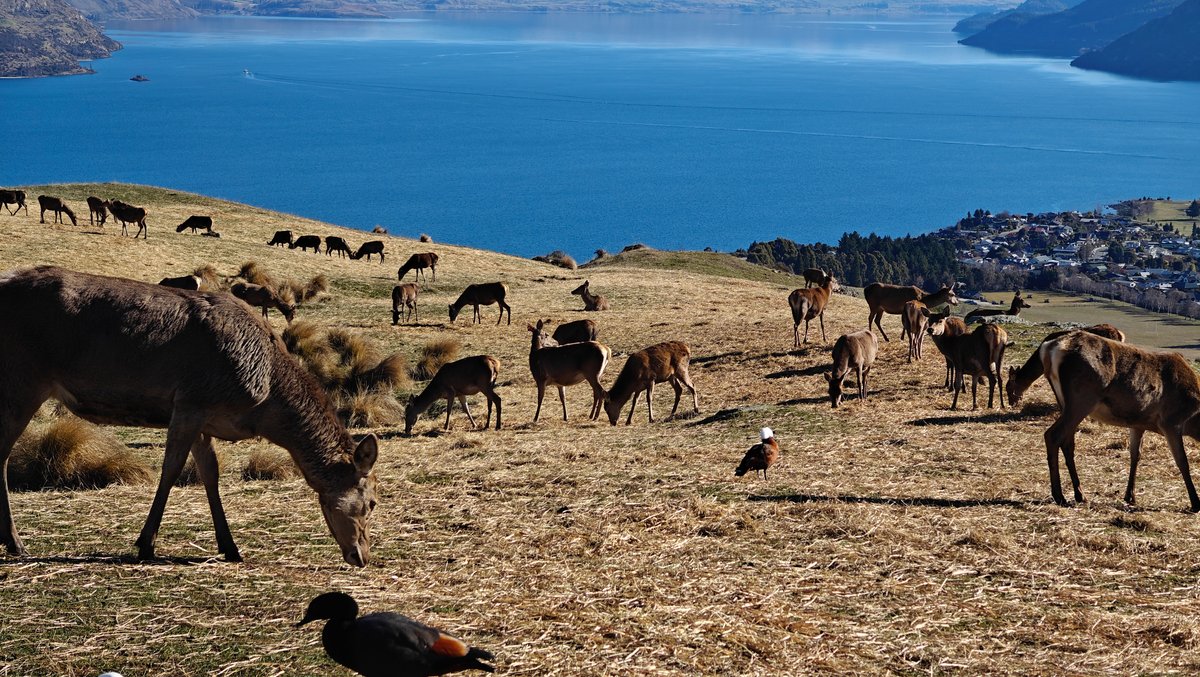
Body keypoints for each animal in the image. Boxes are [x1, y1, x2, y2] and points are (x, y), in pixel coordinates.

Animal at [0, 266, 379, 566]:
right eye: (373, 502)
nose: (362, 556)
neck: (263, 400)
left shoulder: (204, 417)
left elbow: (210, 473)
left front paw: (230, 546)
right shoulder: (190, 401)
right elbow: (170, 469)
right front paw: (145, 544)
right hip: (23, 378)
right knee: (2, 453)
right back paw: (15, 542)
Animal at [1038, 331, 1200, 511]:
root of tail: (1049, 349)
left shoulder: (1138, 424)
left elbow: (1135, 455)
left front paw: (1130, 496)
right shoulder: (1171, 421)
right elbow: (1182, 461)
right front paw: (1195, 503)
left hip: (1064, 402)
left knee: (1067, 442)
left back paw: (1080, 494)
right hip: (1082, 400)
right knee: (1052, 435)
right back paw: (1059, 496)